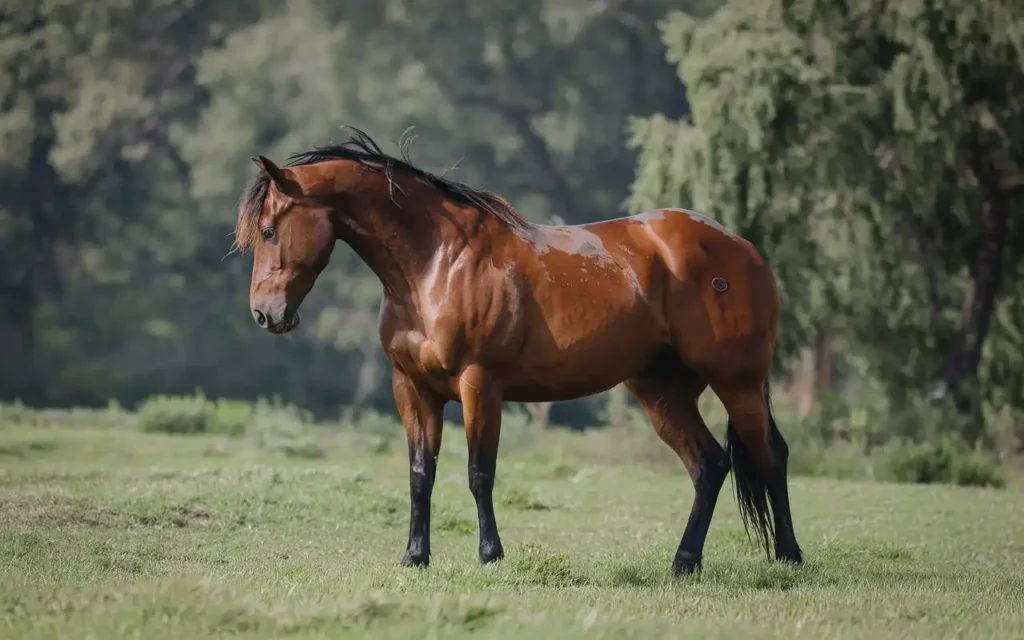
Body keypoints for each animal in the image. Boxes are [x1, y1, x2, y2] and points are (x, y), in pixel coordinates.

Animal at [235, 125, 802, 573]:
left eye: (270, 229)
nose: (265, 314)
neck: (435, 264)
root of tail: (743, 249)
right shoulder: (413, 389)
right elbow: (421, 474)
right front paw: (415, 556)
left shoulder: (479, 384)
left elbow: (478, 473)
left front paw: (491, 554)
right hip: (663, 391)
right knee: (709, 465)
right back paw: (684, 562)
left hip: (738, 382)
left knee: (770, 455)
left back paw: (788, 556)